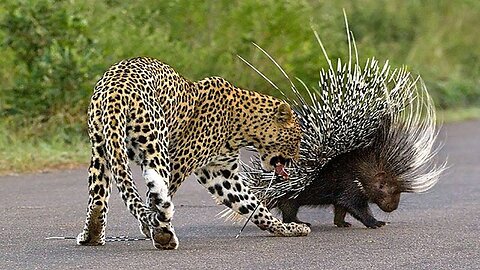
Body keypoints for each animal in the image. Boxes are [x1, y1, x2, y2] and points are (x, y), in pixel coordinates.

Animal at [77, 56, 310, 250]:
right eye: (297, 141)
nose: (297, 161)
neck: (242, 125)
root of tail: (115, 88)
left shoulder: (220, 174)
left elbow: (253, 205)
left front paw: (287, 229)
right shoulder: (180, 162)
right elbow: (156, 198)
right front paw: (150, 228)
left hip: (101, 147)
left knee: (97, 196)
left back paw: (92, 236)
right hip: (156, 147)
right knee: (156, 195)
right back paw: (164, 236)